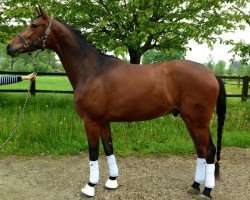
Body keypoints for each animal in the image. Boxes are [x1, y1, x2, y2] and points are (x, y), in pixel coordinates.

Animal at [7, 7, 227, 199]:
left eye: (34, 25)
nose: (10, 46)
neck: (92, 70)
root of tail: (211, 74)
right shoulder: (104, 121)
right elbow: (109, 148)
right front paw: (111, 181)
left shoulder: (90, 121)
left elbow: (93, 153)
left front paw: (90, 186)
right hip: (188, 119)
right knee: (200, 150)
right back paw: (195, 186)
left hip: (198, 121)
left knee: (209, 151)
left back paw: (207, 190)